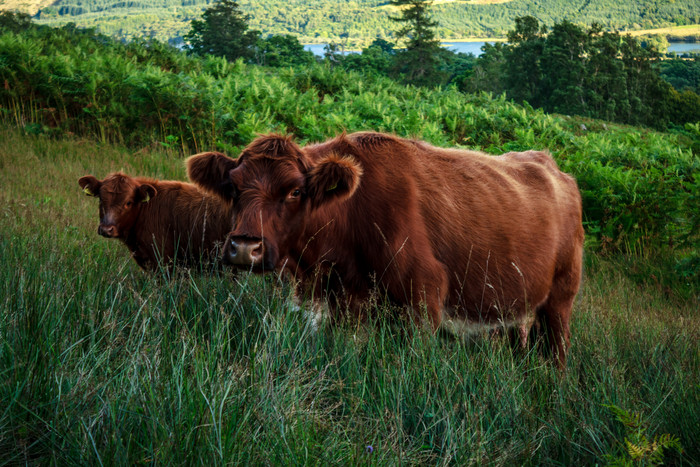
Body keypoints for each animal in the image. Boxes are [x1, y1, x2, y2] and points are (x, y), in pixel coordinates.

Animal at [186, 133, 584, 368]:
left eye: (295, 191)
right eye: (233, 187)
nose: (244, 247)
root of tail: (554, 167)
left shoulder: (424, 297)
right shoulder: (341, 305)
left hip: (560, 299)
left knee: (558, 351)